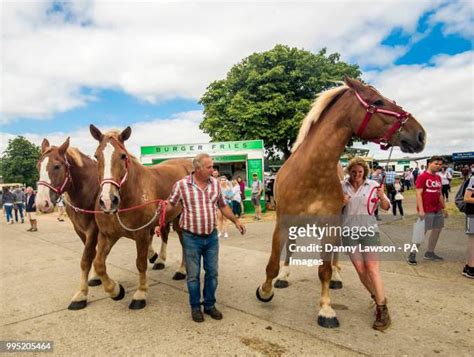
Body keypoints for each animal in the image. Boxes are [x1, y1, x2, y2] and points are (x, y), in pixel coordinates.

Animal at [89, 125, 193, 308]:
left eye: (123, 156)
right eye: (96, 156)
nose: (108, 201)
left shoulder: (142, 234)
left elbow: (141, 263)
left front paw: (140, 294)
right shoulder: (107, 235)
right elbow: (99, 264)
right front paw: (115, 290)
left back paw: (181, 270)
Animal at [256, 76, 426, 326]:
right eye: (378, 101)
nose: (420, 135)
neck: (311, 173)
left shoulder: (330, 225)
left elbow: (324, 270)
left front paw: (326, 309)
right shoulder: (283, 223)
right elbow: (273, 263)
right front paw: (266, 289)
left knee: (334, 254)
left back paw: (336, 276)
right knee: (292, 246)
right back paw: (285, 275)